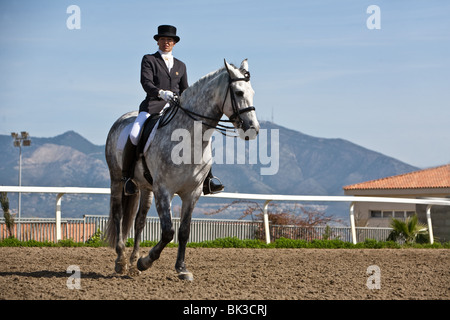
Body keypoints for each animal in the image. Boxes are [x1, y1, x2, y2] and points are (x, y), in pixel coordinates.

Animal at [105, 60, 258, 280]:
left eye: (252, 92)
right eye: (238, 92)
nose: (253, 129)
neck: (189, 139)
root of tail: (123, 118)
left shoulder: (192, 193)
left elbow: (184, 231)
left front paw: (181, 268)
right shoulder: (164, 191)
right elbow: (168, 232)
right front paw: (146, 261)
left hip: (146, 188)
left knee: (139, 221)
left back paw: (133, 262)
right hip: (117, 180)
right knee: (118, 215)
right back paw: (121, 261)